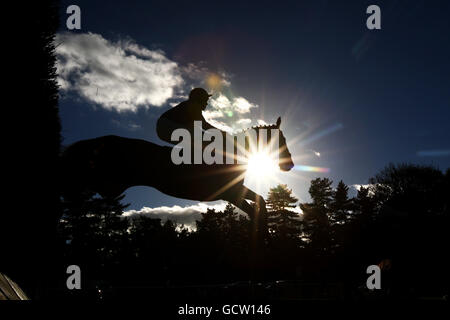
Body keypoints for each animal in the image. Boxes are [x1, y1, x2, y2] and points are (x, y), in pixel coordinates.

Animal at [62, 117, 296, 220]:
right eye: (282, 139)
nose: (289, 165)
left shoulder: (234, 192)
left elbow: (261, 203)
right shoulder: (230, 193)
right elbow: (258, 206)